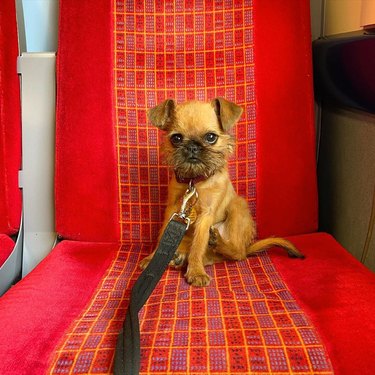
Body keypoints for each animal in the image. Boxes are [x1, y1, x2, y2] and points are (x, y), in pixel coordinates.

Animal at [140, 98, 304, 286]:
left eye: (211, 137)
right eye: (176, 138)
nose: (192, 147)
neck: (195, 182)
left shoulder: (206, 215)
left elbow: (198, 244)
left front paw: (196, 271)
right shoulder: (173, 210)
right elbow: (162, 236)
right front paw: (152, 258)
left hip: (238, 206)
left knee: (236, 253)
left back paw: (216, 244)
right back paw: (180, 257)